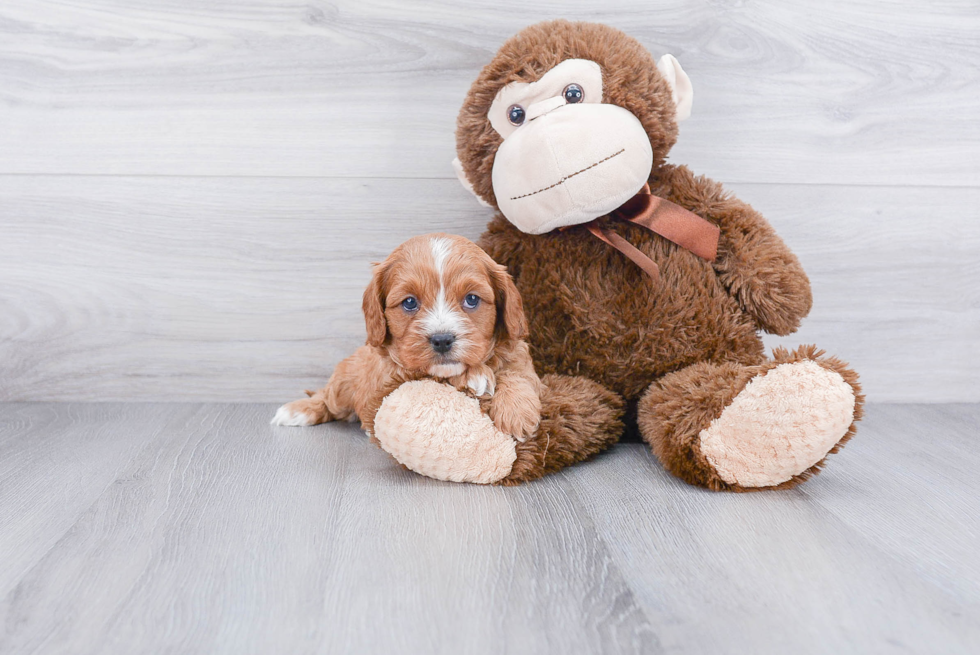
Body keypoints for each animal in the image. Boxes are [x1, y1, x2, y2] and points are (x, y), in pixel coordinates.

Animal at [272, 233, 540, 444]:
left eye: (472, 299)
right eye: (410, 302)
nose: (442, 340)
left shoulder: (521, 359)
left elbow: (518, 374)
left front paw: (517, 413)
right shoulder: (394, 377)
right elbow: (435, 375)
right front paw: (474, 376)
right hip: (344, 384)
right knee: (326, 396)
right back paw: (298, 410)